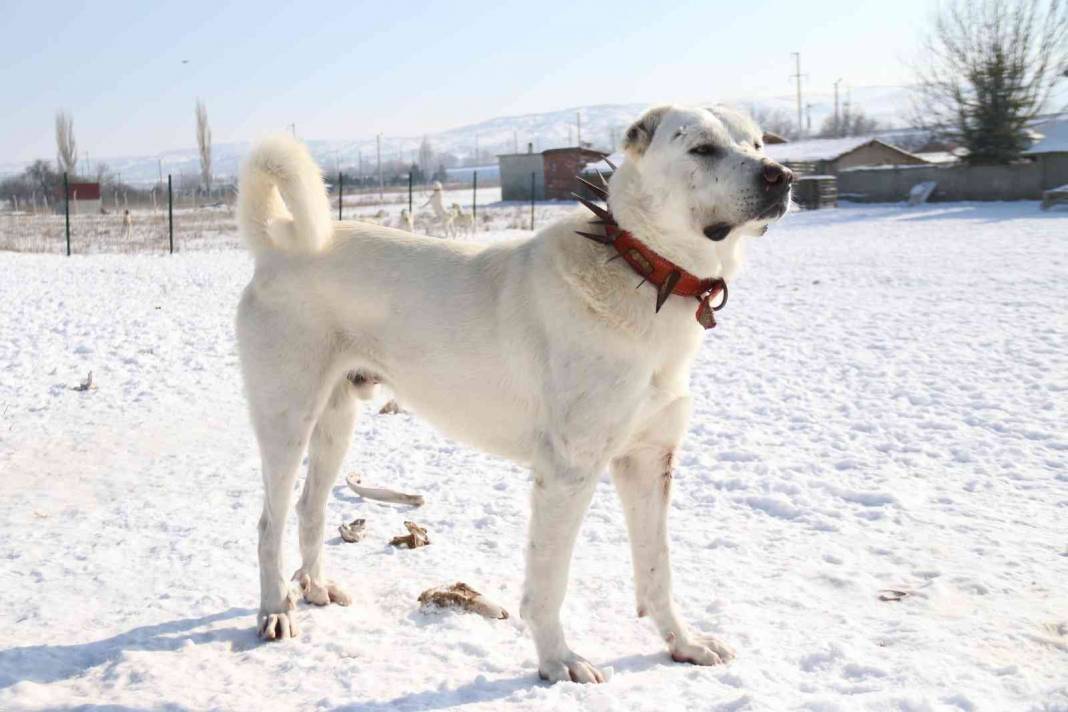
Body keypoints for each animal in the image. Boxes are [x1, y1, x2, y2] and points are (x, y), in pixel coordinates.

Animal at [238, 103, 798, 683]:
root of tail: (277, 243)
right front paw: (558, 661)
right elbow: (549, 583)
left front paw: (682, 643)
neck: (643, 270)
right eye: (702, 149)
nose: (782, 176)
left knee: (310, 508)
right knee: (268, 523)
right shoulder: (567, 471)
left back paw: (316, 587)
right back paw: (275, 610)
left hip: (337, 421)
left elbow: (656, 569)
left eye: (757, 144)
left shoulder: (649, 460)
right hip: (287, 420)